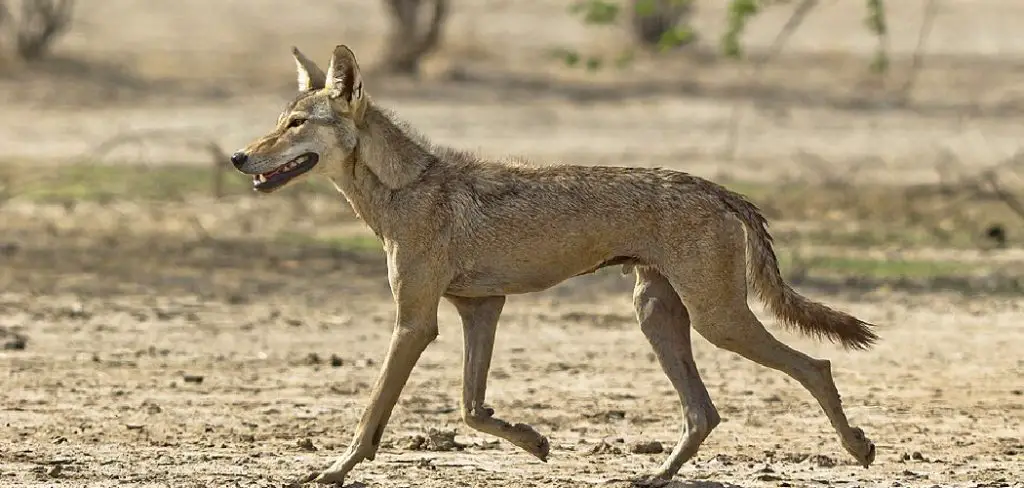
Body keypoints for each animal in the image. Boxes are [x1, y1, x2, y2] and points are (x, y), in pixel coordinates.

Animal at [230, 44, 878, 485]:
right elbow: (471, 409)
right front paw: (535, 442)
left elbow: (372, 412)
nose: (238, 156)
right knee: (704, 412)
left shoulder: (415, 323)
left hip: (717, 320)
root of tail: (716, 188)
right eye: (279, 120)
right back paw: (655, 476)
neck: (403, 189)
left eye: (295, 124)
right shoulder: (481, 308)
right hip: (657, 316)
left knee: (814, 365)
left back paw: (859, 448)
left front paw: (334, 470)